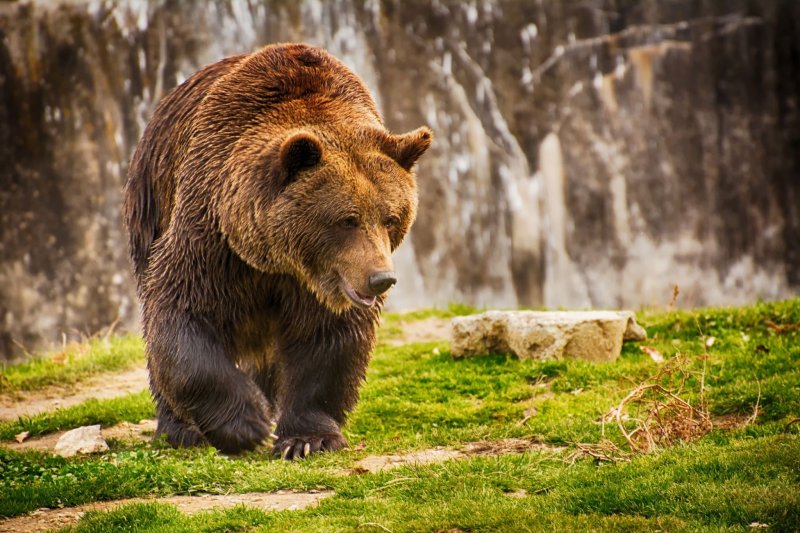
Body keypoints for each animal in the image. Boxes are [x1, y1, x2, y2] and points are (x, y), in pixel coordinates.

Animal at [123, 43, 431, 458]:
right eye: (347, 219)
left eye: (391, 218)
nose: (381, 278)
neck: (275, 259)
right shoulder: (211, 237)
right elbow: (182, 315)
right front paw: (245, 423)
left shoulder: (320, 285)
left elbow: (327, 341)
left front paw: (306, 439)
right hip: (151, 200)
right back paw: (180, 429)